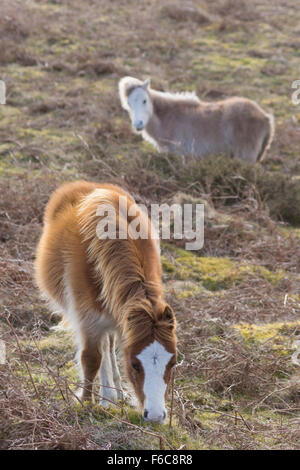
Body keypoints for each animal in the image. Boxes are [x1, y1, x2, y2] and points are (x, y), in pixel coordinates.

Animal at [34, 180, 178, 422]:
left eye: (173, 362)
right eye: (135, 365)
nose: (156, 416)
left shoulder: (121, 320)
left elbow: (107, 353)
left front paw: (112, 394)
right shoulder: (88, 319)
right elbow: (92, 359)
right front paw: (86, 402)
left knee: (108, 348)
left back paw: (114, 392)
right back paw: (106, 395)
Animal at [118, 76, 276, 164]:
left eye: (144, 100)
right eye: (128, 104)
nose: (138, 124)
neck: (168, 117)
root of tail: (265, 117)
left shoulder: (185, 156)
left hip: (245, 157)